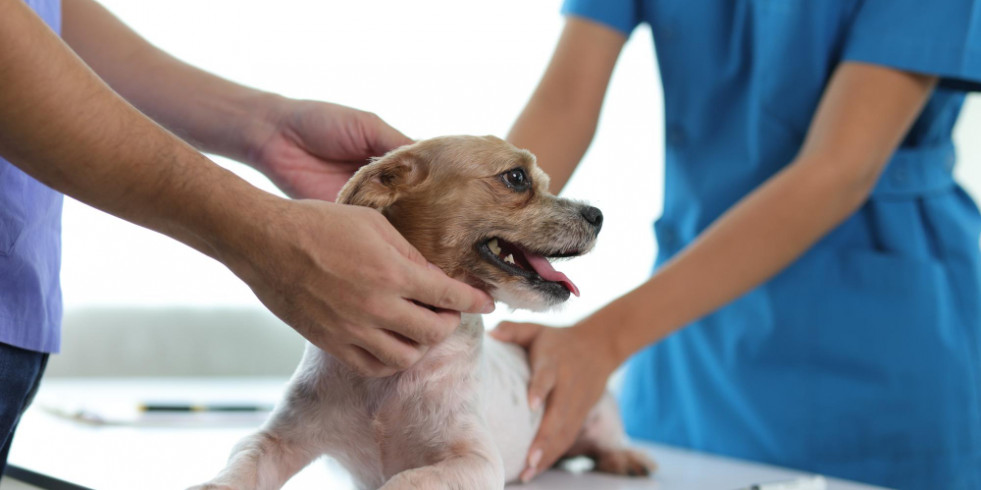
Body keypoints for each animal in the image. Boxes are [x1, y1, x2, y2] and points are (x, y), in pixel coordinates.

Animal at [193, 136, 652, 488]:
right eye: (517, 177)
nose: (597, 215)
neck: (392, 377)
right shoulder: (277, 440)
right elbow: (239, 469)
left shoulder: (474, 461)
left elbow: (406, 480)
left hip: (599, 415)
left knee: (607, 442)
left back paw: (625, 459)